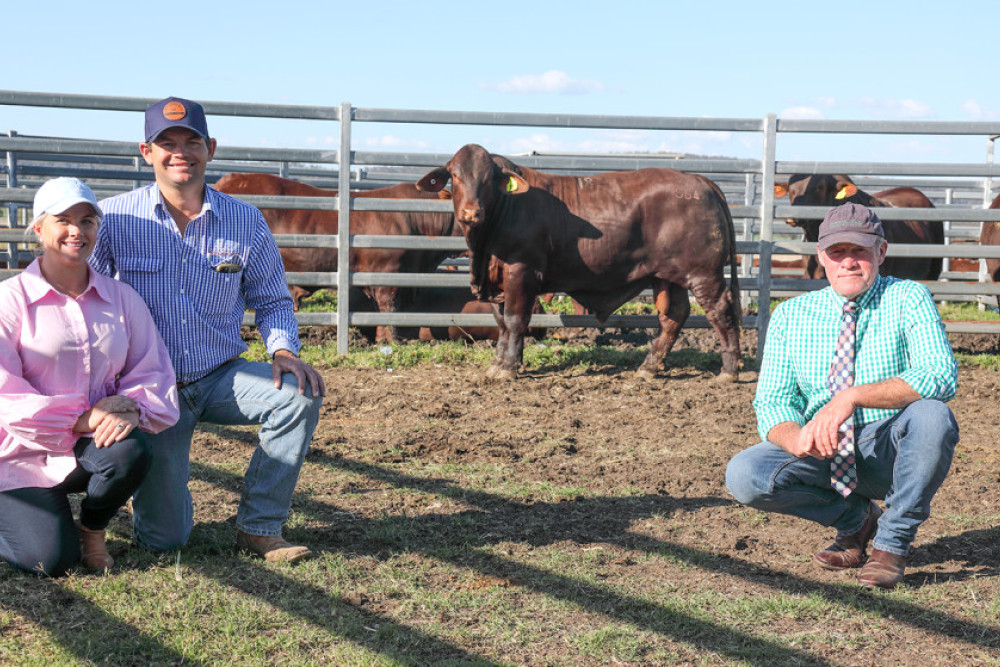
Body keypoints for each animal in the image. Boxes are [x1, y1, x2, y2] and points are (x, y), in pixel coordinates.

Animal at [416, 145, 744, 386]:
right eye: (455, 176)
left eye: (488, 179)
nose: (471, 213)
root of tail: (701, 181)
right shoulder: (498, 282)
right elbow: (501, 323)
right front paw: (499, 363)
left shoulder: (521, 272)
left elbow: (514, 320)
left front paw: (509, 367)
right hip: (669, 276)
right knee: (674, 316)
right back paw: (649, 367)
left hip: (703, 273)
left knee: (721, 312)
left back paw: (729, 370)